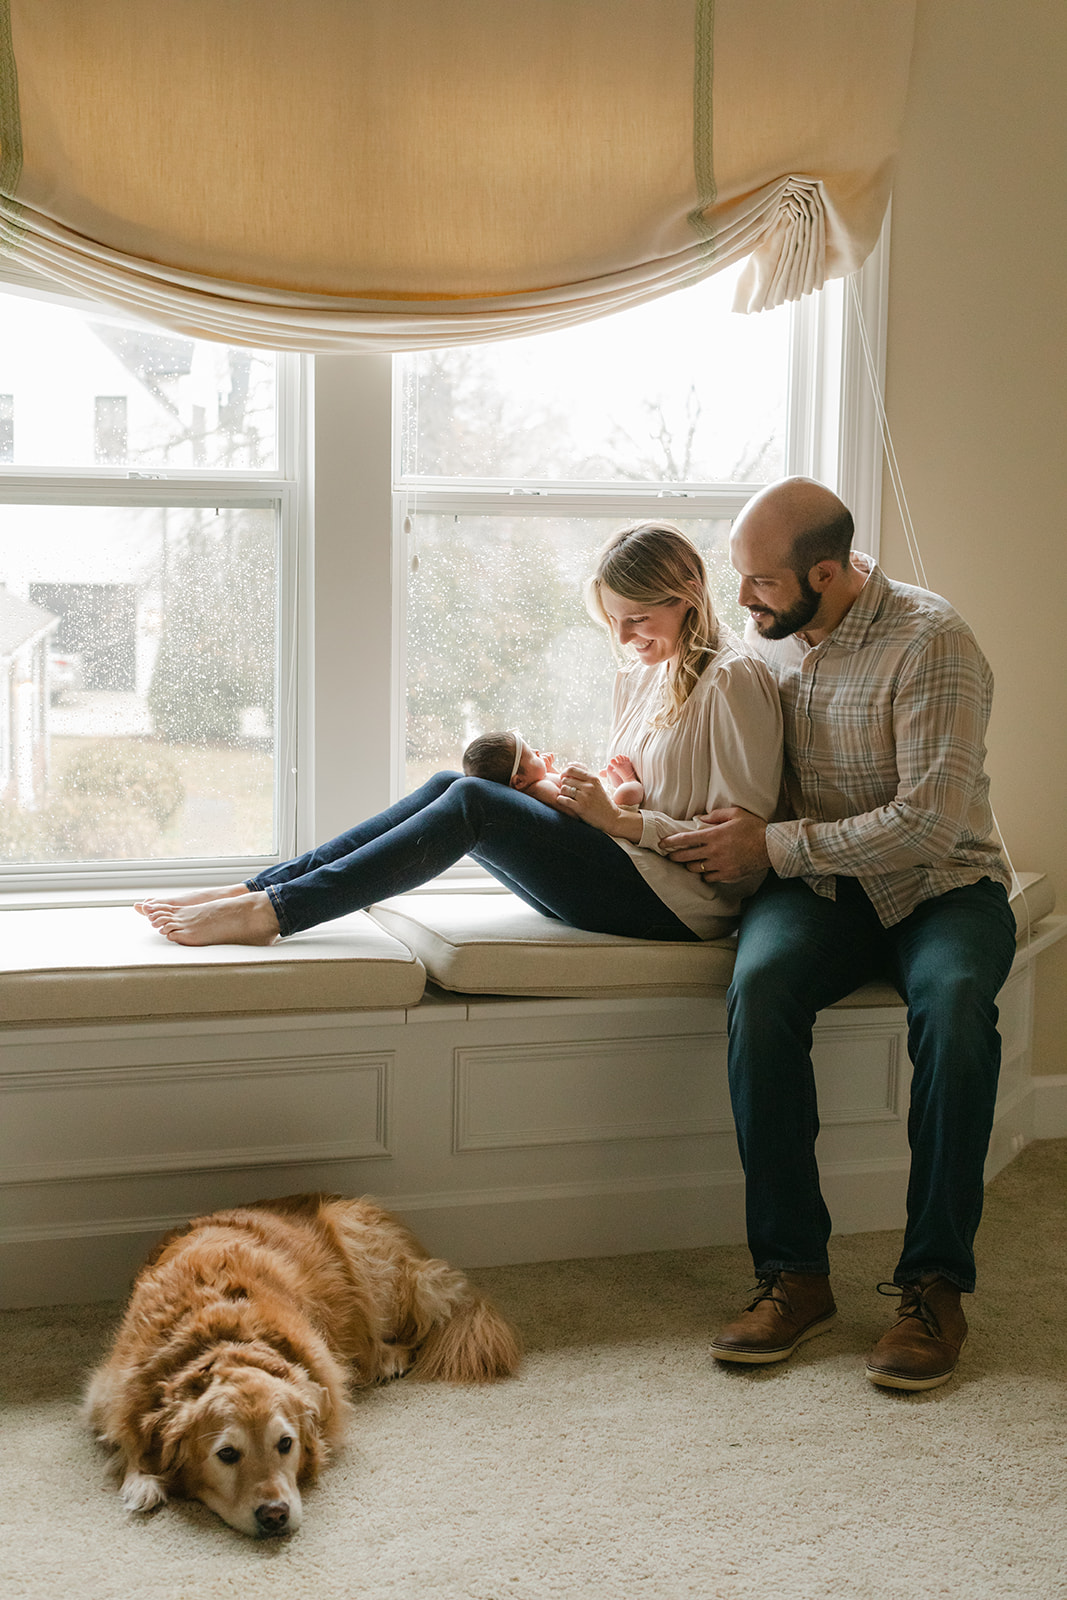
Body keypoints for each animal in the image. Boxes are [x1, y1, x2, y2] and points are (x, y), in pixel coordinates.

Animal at [83, 1196, 521, 1529]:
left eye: (285, 1444)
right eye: (227, 1454)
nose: (275, 1515)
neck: (219, 1337)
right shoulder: (107, 1392)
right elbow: (125, 1433)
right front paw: (141, 1480)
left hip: (371, 1259)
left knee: (415, 1328)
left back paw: (388, 1358)